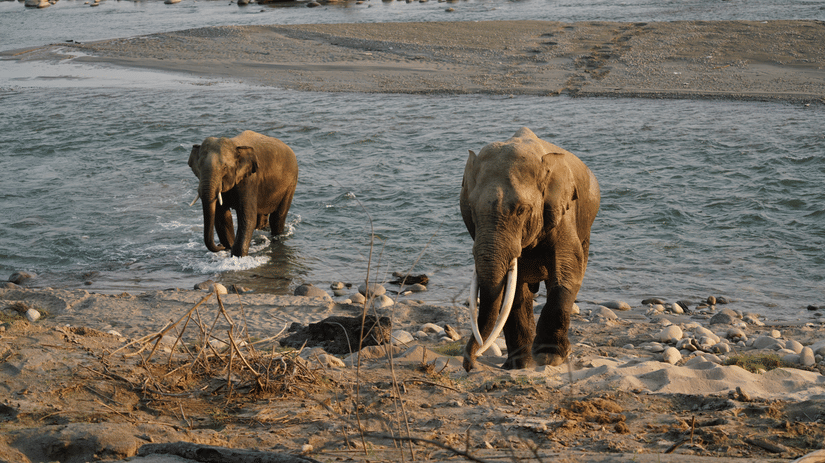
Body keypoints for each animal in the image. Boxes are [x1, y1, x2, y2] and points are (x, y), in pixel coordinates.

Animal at [460, 127, 600, 372]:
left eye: (521, 210)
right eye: (472, 209)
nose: (469, 365)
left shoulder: (563, 214)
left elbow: (567, 273)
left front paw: (549, 358)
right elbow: (512, 290)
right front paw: (519, 366)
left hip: (586, 228)